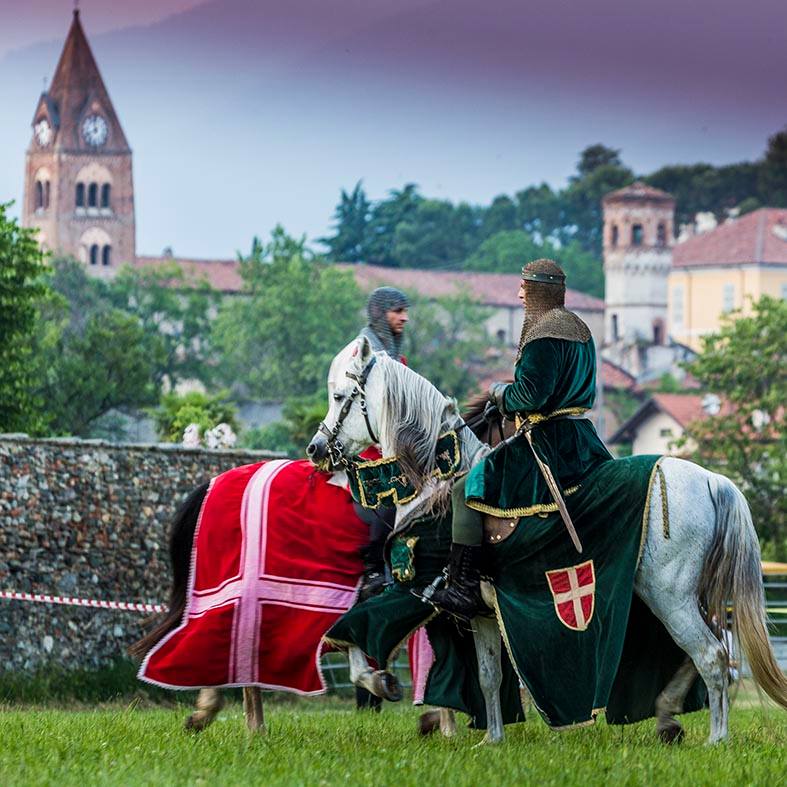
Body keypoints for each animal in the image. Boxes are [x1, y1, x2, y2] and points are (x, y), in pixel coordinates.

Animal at [308, 338, 787, 744]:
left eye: (339, 397)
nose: (316, 449)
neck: (435, 480)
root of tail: (713, 480)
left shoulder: (412, 590)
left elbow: (351, 630)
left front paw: (381, 680)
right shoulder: (481, 612)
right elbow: (489, 676)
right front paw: (491, 739)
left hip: (669, 594)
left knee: (711, 655)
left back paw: (716, 739)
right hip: (674, 596)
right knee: (709, 653)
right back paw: (668, 714)